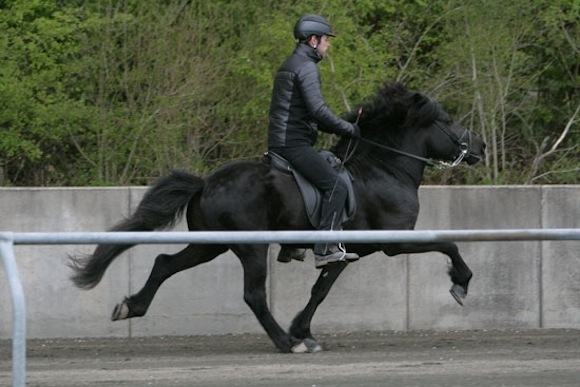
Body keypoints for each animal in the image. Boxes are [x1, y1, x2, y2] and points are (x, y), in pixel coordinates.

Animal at [69, 82, 484, 354]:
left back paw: (131, 306)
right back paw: (284, 343)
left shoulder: (346, 252)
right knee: (253, 294)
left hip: (209, 245)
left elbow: (320, 290)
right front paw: (461, 284)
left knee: (164, 263)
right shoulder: (393, 243)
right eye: (447, 120)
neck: (383, 168)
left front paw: (305, 331)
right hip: (250, 247)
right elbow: (448, 244)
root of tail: (206, 183)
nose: (479, 146)